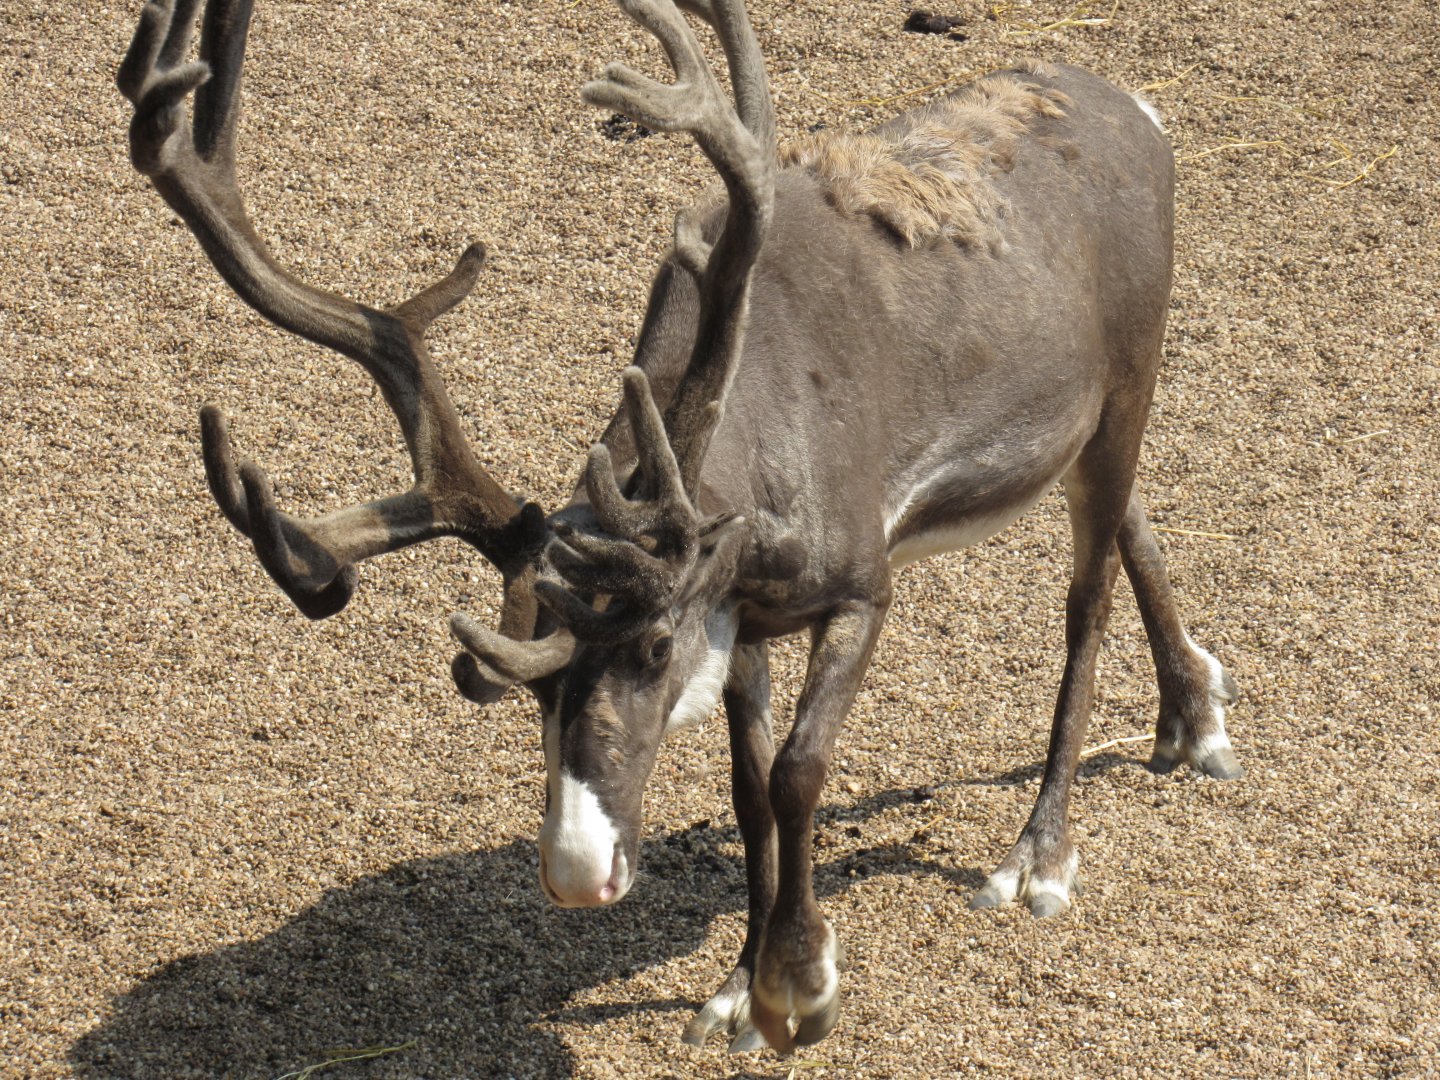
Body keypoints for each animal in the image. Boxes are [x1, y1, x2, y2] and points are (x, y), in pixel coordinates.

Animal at [119, 0, 1243, 1055]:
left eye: (653, 646)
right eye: (528, 686)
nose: (578, 872)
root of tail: (1134, 108)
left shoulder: (858, 586)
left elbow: (797, 771)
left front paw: (801, 983)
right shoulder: (741, 617)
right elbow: (748, 792)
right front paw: (741, 989)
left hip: (1132, 378)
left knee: (1085, 605)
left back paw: (1039, 855)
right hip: (1082, 428)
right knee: (1136, 519)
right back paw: (1195, 709)